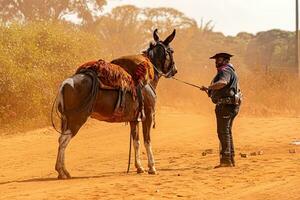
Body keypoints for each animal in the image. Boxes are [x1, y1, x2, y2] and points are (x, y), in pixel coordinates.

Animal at [54, 28, 177, 180]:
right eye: (171, 51)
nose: (175, 70)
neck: (146, 79)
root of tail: (65, 83)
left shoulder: (134, 120)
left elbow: (136, 142)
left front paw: (139, 167)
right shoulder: (147, 116)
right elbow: (147, 141)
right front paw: (152, 167)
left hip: (66, 120)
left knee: (61, 140)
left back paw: (62, 171)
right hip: (76, 120)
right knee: (63, 140)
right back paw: (62, 170)